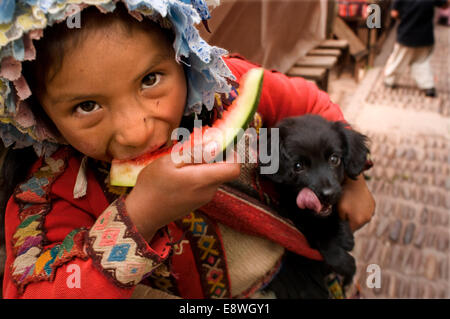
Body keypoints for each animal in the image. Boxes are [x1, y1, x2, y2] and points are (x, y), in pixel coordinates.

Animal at [262, 115, 370, 300]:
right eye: (298, 166)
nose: (328, 193)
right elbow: (321, 238)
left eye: (334, 159)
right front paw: (345, 261)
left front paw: (344, 234)